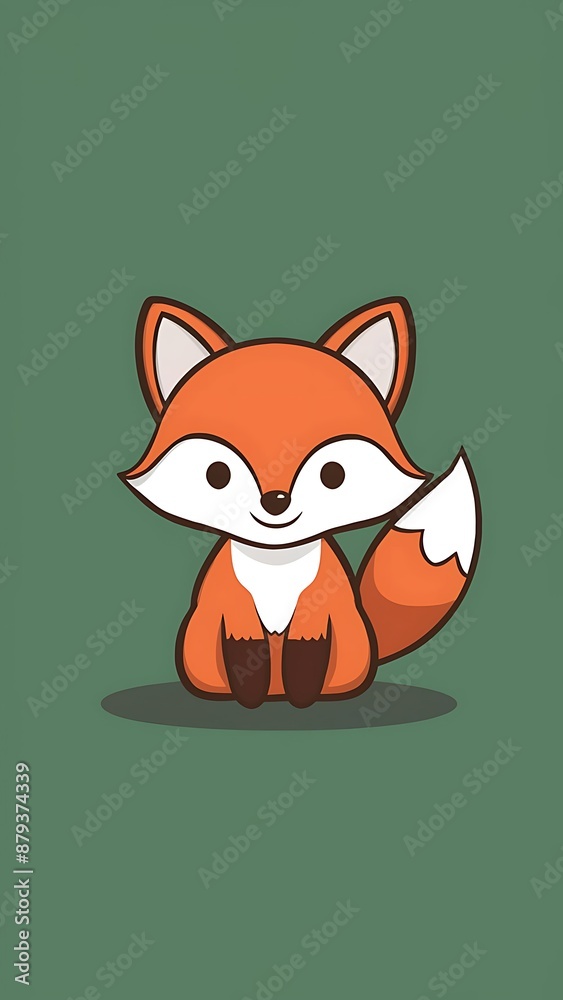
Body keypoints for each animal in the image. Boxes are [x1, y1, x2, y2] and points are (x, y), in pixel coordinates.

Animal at [119, 295, 481, 709]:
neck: (276, 563)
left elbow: (307, 648)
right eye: (217, 474)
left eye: (333, 474)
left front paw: (304, 697)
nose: (275, 501)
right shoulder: (228, 602)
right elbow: (244, 648)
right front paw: (249, 697)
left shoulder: (323, 604)